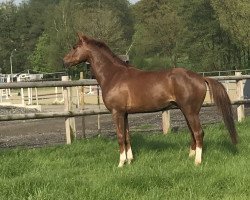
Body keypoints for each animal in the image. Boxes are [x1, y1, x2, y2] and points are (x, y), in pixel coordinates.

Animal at [63, 34, 237, 167]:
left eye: (74, 47)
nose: (64, 61)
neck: (114, 75)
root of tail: (200, 77)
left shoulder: (116, 112)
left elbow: (120, 136)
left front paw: (121, 164)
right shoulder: (125, 113)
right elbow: (127, 136)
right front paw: (130, 160)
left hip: (190, 111)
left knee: (198, 132)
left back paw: (197, 161)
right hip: (187, 111)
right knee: (192, 133)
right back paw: (190, 156)